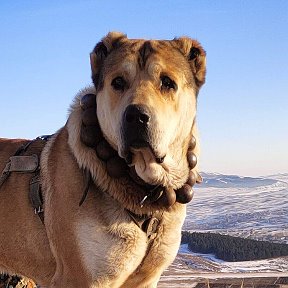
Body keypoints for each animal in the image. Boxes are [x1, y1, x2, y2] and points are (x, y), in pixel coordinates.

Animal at [0, 32, 207, 286]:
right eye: (117, 82)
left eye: (167, 82)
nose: (136, 116)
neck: (144, 192)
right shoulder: (77, 278)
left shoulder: (147, 279)